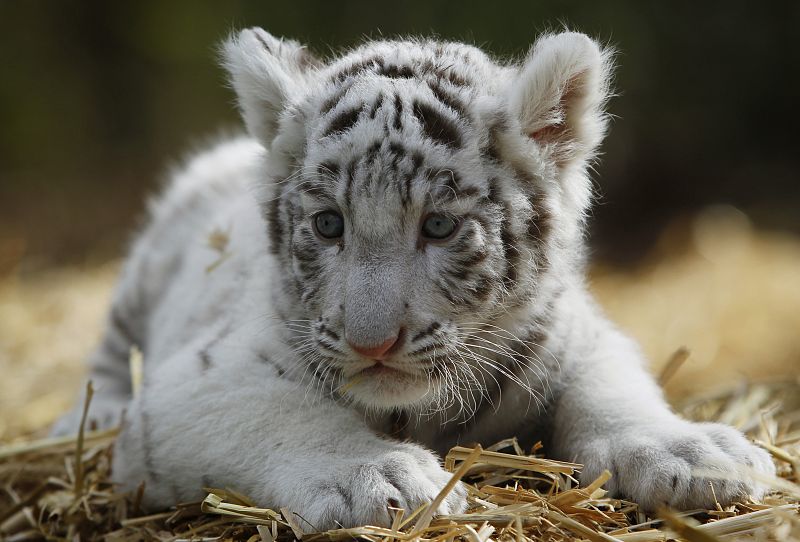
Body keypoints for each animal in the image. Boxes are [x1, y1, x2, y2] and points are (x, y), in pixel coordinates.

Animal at [53, 28, 775, 529]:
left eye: (439, 226)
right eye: (329, 225)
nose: (372, 342)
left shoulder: (578, 335)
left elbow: (615, 391)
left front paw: (693, 453)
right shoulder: (199, 381)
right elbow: (279, 412)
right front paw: (376, 478)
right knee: (112, 355)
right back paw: (83, 420)